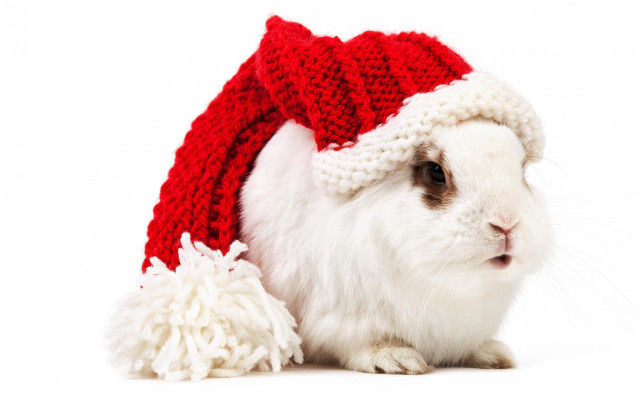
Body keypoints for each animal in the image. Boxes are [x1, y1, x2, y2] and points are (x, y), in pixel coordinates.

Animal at [239, 116, 552, 374]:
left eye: (522, 170)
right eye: (435, 172)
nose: (506, 223)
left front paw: (494, 356)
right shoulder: (344, 319)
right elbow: (363, 344)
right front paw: (397, 360)